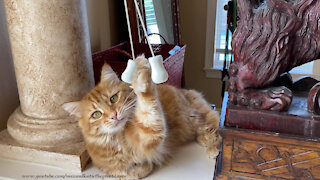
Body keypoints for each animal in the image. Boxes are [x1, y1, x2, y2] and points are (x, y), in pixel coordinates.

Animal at [63, 56, 221, 179]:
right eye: (96, 114)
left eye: (113, 98)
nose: (114, 115)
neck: (119, 140)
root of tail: (185, 92)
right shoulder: (108, 167)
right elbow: (128, 173)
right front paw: (140, 168)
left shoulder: (149, 135)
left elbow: (146, 103)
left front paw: (140, 69)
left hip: (192, 117)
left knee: (214, 131)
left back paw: (211, 148)